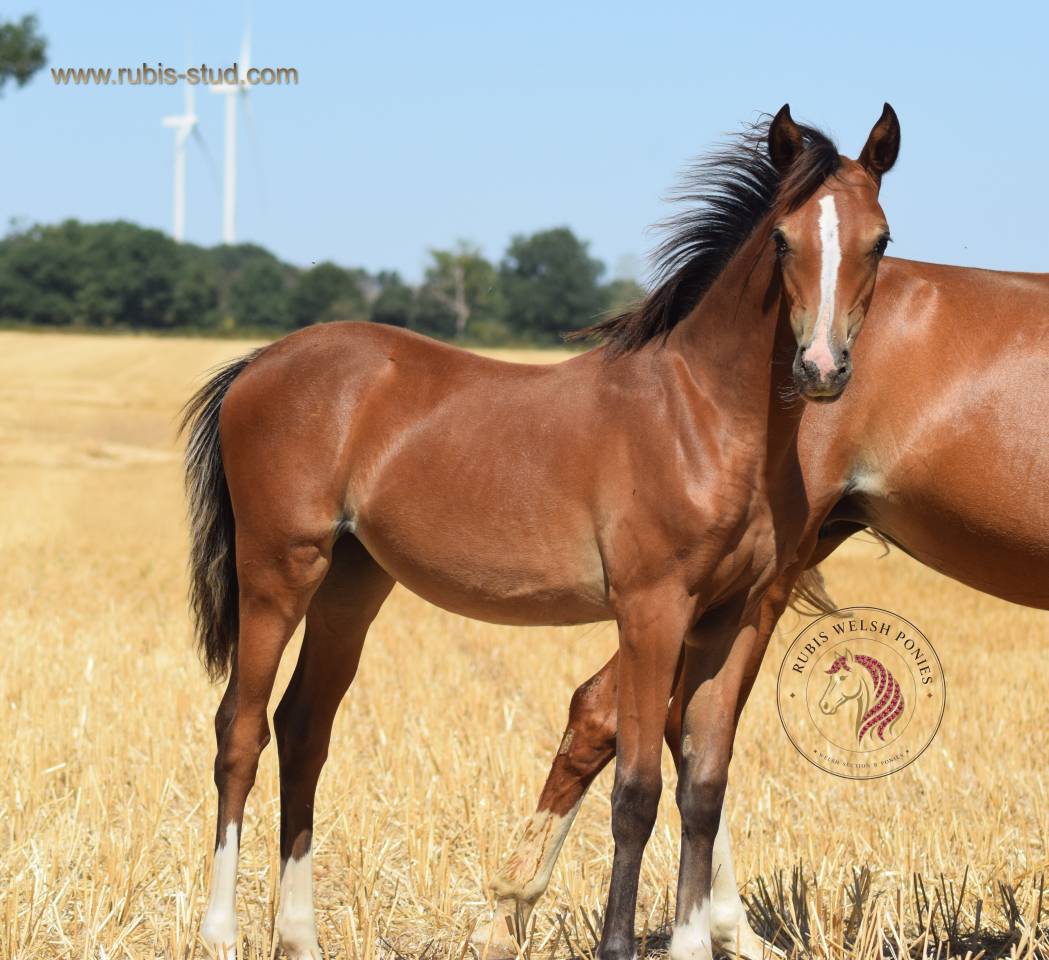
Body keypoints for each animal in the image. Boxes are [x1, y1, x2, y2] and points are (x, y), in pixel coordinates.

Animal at [180, 103, 901, 960]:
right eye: (785, 240)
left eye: (879, 240)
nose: (821, 368)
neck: (702, 416)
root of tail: (259, 364)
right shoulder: (650, 611)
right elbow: (636, 791)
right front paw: (619, 944)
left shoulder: (732, 616)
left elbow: (703, 786)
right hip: (277, 571)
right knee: (240, 731)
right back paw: (220, 933)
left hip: (351, 583)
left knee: (302, 728)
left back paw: (299, 937)